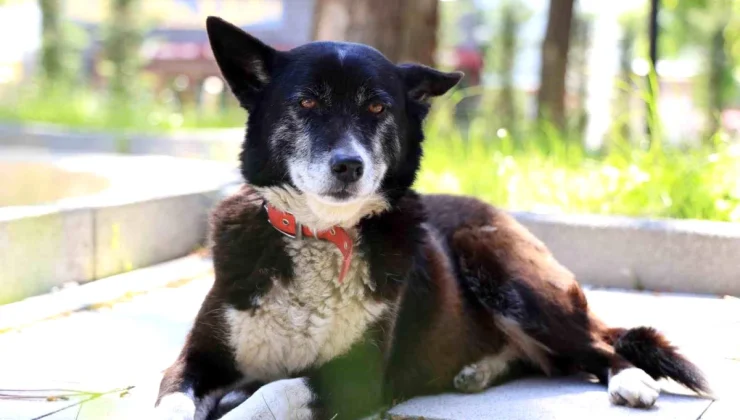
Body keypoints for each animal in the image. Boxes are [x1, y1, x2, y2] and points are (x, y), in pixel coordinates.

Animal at [152, 15, 712, 416]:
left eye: (377, 108)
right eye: (307, 103)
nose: (349, 165)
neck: (324, 234)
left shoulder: (355, 378)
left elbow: (273, 392)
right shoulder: (196, 360)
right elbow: (172, 399)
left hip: (503, 268)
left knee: (598, 345)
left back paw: (629, 379)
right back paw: (478, 371)